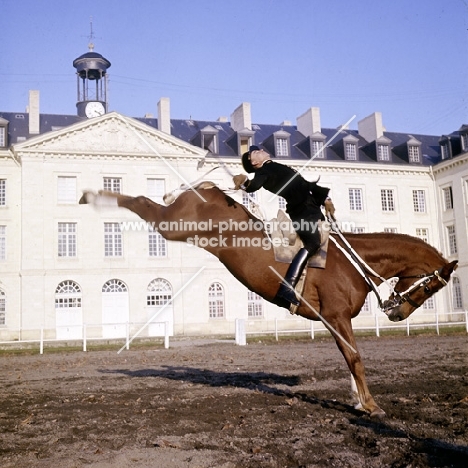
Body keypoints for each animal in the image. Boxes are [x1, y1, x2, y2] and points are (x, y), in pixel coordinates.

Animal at [80, 183, 458, 416]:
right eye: (431, 287)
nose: (398, 314)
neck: (353, 262)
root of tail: (209, 189)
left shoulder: (339, 322)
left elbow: (350, 359)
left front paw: (358, 401)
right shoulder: (336, 318)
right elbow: (355, 358)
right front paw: (370, 405)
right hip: (175, 226)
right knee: (143, 204)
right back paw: (93, 196)